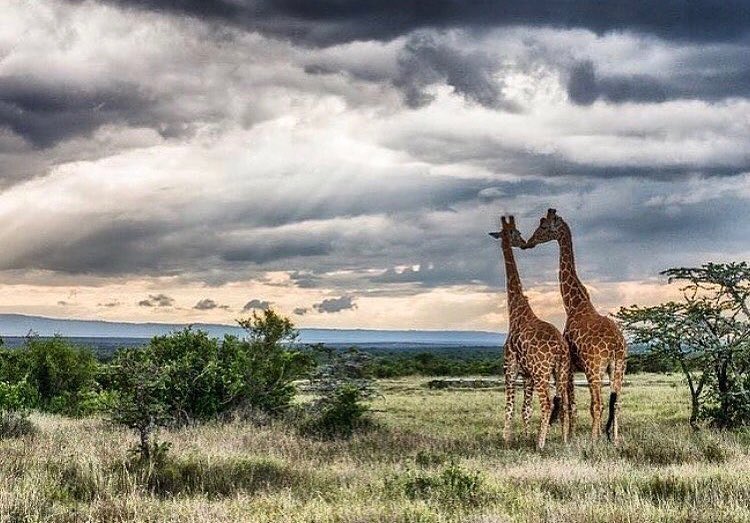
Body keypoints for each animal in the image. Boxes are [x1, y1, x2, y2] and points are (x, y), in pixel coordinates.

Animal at [490, 215, 570, 450]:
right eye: (516, 232)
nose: (524, 243)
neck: (516, 312)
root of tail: (560, 347)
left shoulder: (510, 368)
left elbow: (509, 407)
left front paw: (507, 440)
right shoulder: (527, 375)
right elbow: (526, 409)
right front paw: (524, 437)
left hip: (542, 372)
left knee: (547, 404)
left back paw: (540, 444)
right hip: (561, 371)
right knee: (564, 405)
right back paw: (564, 441)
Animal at [524, 209, 627, 442]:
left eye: (543, 226)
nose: (528, 243)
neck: (573, 304)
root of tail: (617, 345)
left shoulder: (570, 365)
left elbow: (571, 404)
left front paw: (569, 438)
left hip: (594, 368)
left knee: (597, 404)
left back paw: (594, 441)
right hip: (619, 368)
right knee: (616, 402)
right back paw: (616, 441)